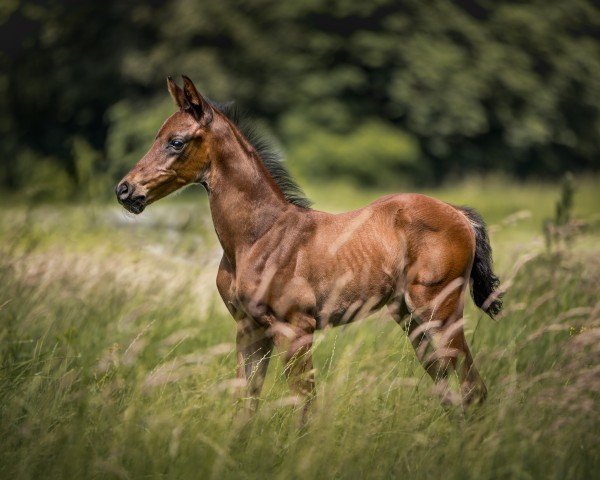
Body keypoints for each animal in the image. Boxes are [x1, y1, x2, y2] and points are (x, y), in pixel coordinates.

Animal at [116, 76, 502, 420]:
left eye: (176, 142)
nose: (125, 189)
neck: (258, 237)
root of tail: (459, 213)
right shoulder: (249, 329)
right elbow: (245, 406)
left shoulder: (295, 329)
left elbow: (304, 407)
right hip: (409, 317)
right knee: (448, 387)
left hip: (439, 309)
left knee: (473, 388)